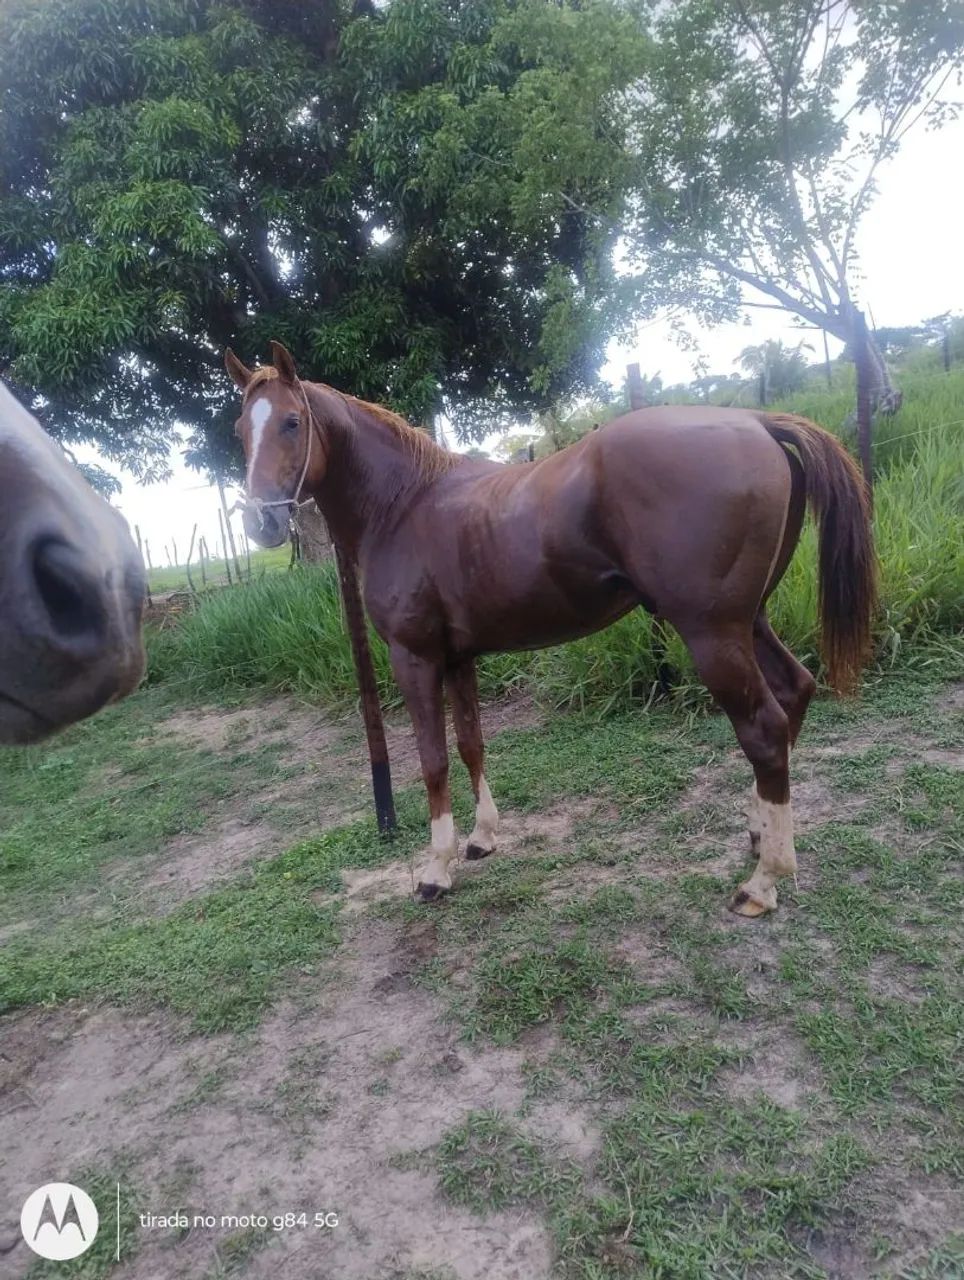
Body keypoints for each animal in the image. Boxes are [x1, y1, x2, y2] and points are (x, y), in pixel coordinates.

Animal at [226, 341, 876, 917]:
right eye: (240, 429)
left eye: (291, 422)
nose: (261, 522)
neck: (404, 504)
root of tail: (756, 421)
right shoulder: (458, 658)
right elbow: (471, 744)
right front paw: (483, 839)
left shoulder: (415, 658)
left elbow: (433, 760)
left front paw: (435, 870)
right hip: (749, 621)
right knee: (794, 692)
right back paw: (760, 834)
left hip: (712, 633)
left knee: (764, 729)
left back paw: (764, 882)